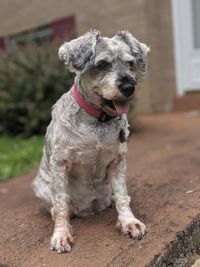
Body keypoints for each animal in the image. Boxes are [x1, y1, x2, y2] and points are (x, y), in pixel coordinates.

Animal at [32, 30, 149, 254]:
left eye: (130, 63)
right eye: (102, 64)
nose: (129, 86)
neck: (98, 120)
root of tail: (90, 208)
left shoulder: (117, 163)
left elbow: (122, 195)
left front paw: (129, 222)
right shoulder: (60, 164)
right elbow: (60, 203)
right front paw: (61, 235)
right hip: (40, 188)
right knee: (56, 207)